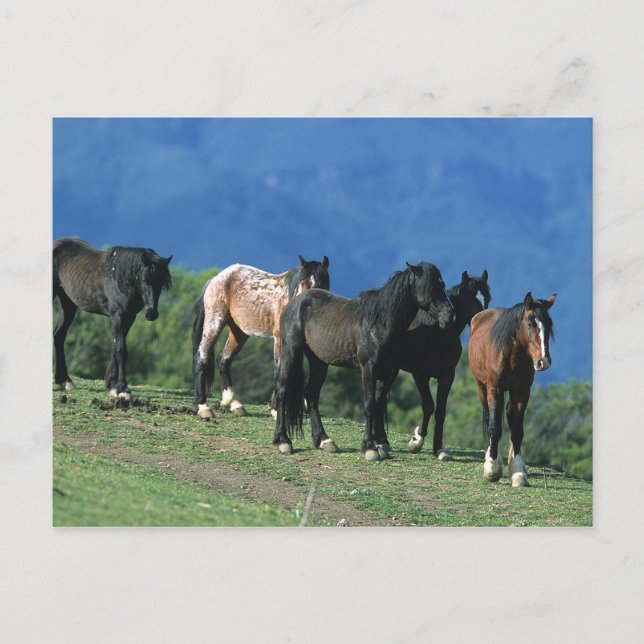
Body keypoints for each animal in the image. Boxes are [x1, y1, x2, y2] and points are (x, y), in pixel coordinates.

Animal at [53, 237, 172, 399]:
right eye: (145, 280)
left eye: (161, 283)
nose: (151, 313)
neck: (120, 278)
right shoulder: (118, 316)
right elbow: (121, 350)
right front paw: (122, 389)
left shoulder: (129, 317)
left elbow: (115, 346)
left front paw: (111, 384)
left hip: (68, 303)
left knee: (59, 335)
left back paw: (64, 381)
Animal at [192, 256, 330, 419]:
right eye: (302, 283)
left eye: (320, 285)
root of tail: (216, 279)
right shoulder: (280, 340)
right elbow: (279, 371)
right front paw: (276, 410)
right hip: (214, 322)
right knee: (202, 357)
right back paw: (203, 407)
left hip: (239, 332)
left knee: (224, 360)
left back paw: (233, 404)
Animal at [273, 262, 455, 461]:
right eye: (431, 286)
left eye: (442, 285)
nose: (449, 315)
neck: (380, 323)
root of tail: (294, 303)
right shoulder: (369, 368)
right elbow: (369, 405)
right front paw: (370, 448)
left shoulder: (387, 371)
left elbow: (376, 404)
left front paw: (379, 445)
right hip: (291, 351)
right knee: (282, 390)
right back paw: (283, 441)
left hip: (319, 361)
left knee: (311, 394)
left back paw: (323, 440)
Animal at [394, 270, 491, 459]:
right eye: (469, 299)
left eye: (487, 299)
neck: (438, 334)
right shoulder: (420, 375)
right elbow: (428, 406)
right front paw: (416, 440)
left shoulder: (447, 376)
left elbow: (441, 411)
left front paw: (439, 449)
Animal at [468, 291, 556, 486]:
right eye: (530, 323)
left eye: (549, 326)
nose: (543, 361)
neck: (511, 356)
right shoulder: (494, 389)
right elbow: (494, 427)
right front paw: (492, 468)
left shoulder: (522, 392)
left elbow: (516, 431)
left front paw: (518, 472)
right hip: (481, 387)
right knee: (490, 416)